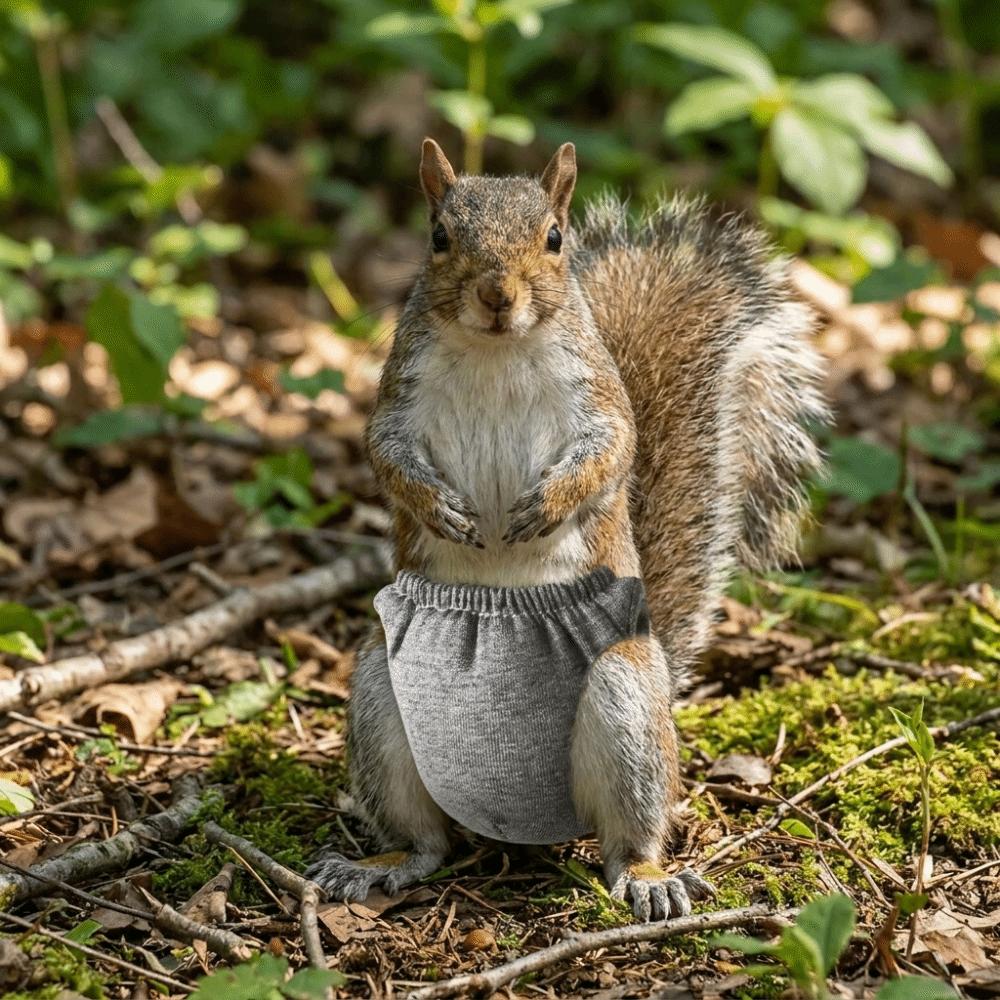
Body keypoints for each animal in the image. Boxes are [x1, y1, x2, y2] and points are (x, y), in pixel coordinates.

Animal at [306, 140, 827, 921]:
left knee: (626, 835)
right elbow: (386, 456)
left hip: (626, 702)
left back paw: (649, 878)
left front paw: (546, 506)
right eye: (438, 236)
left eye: (555, 238)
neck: (495, 349)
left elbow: (611, 451)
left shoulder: (599, 399)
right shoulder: (397, 398)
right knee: (427, 843)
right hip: (379, 697)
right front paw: (440, 507)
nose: (497, 294)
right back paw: (380, 863)